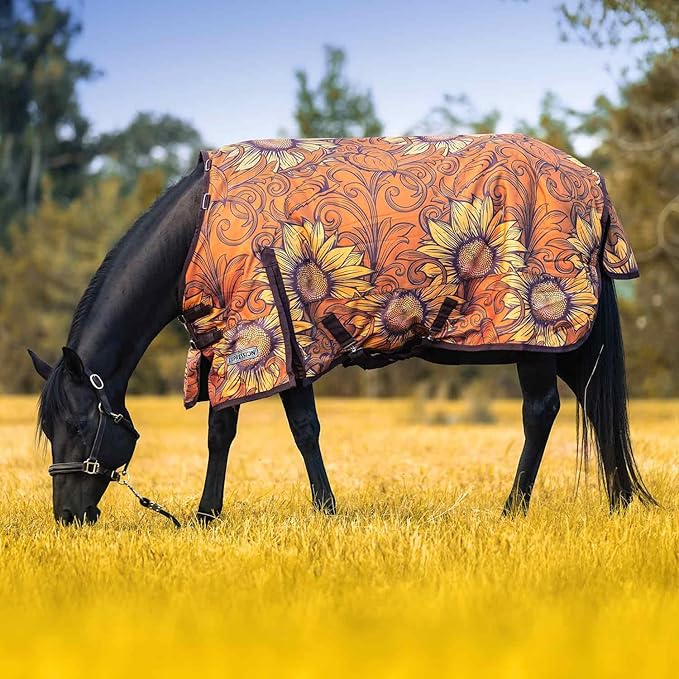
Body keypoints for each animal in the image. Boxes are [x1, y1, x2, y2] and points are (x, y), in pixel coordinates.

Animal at [29, 134, 656, 526]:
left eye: (80, 424)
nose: (68, 516)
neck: (199, 229)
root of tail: (591, 181)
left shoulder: (278, 333)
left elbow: (302, 429)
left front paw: (325, 510)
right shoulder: (237, 342)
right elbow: (222, 430)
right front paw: (208, 515)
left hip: (536, 334)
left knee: (540, 411)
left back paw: (514, 509)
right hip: (567, 344)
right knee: (594, 405)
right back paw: (620, 502)